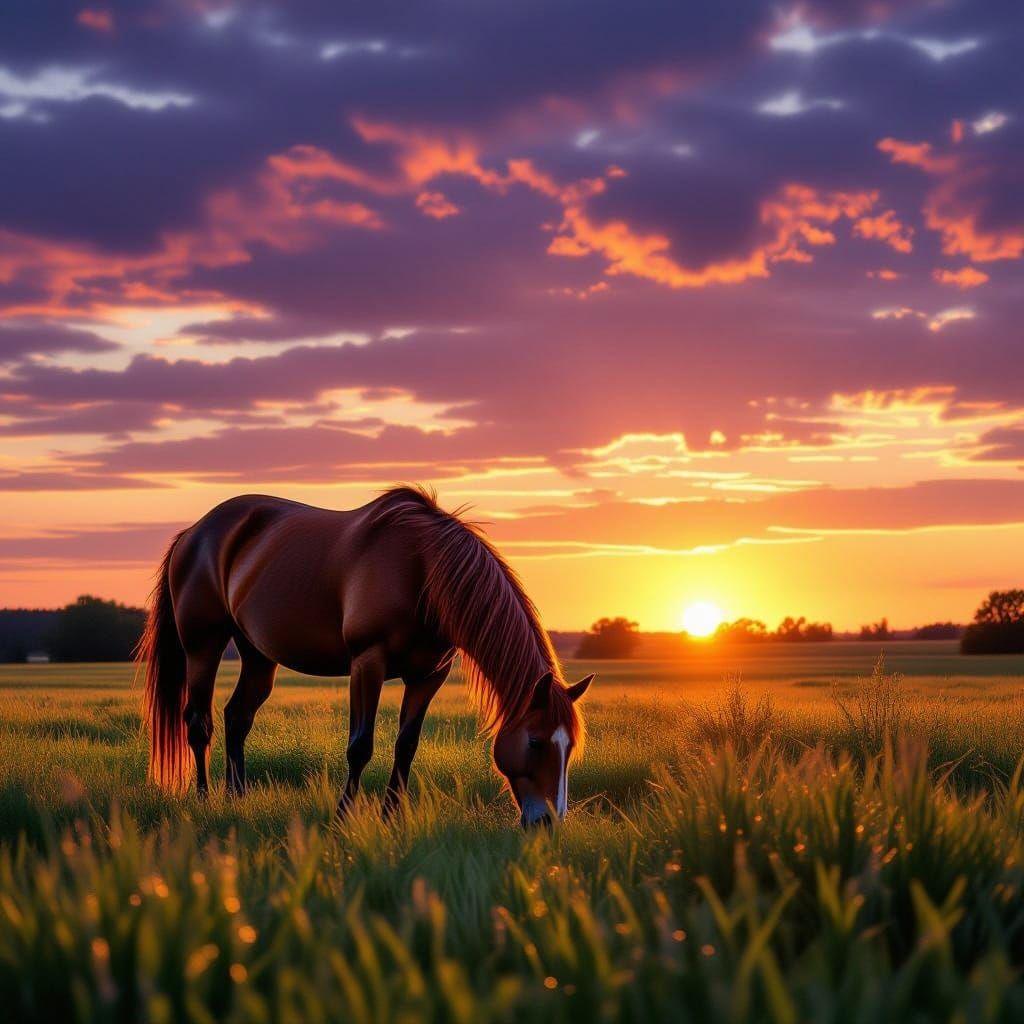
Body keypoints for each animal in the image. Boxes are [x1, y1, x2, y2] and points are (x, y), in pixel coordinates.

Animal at [137, 487, 593, 827]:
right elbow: (360, 746)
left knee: (237, 717)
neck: (422, 568)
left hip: (258, 654)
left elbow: (405, 746)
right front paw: (343, 818)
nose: (548, 823)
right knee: (199, 723)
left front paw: (392, 818)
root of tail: (193, 533)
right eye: (535, 741)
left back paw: (238, 797)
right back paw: (204, 799)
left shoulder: (429, 675)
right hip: (203, 646)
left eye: (570, 747)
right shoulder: (367, 664)